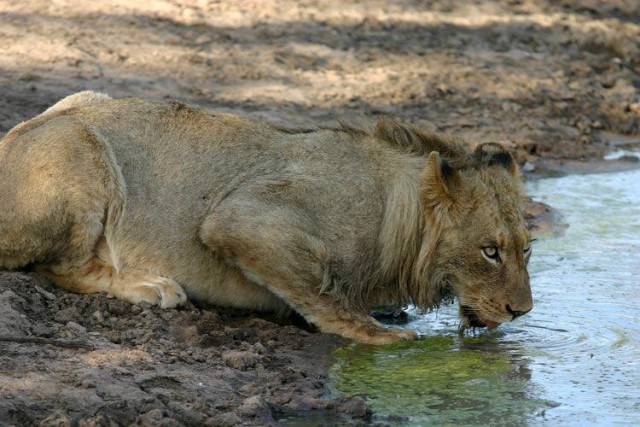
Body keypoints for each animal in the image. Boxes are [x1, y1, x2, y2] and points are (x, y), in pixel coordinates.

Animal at [0, 92, 532, 346]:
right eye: (490, 251)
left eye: (527, 250)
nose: (522, 311)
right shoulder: (243, 219)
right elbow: (323, 292)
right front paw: (380, 331)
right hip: (81, 146)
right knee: (61, 267)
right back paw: (150, 285)